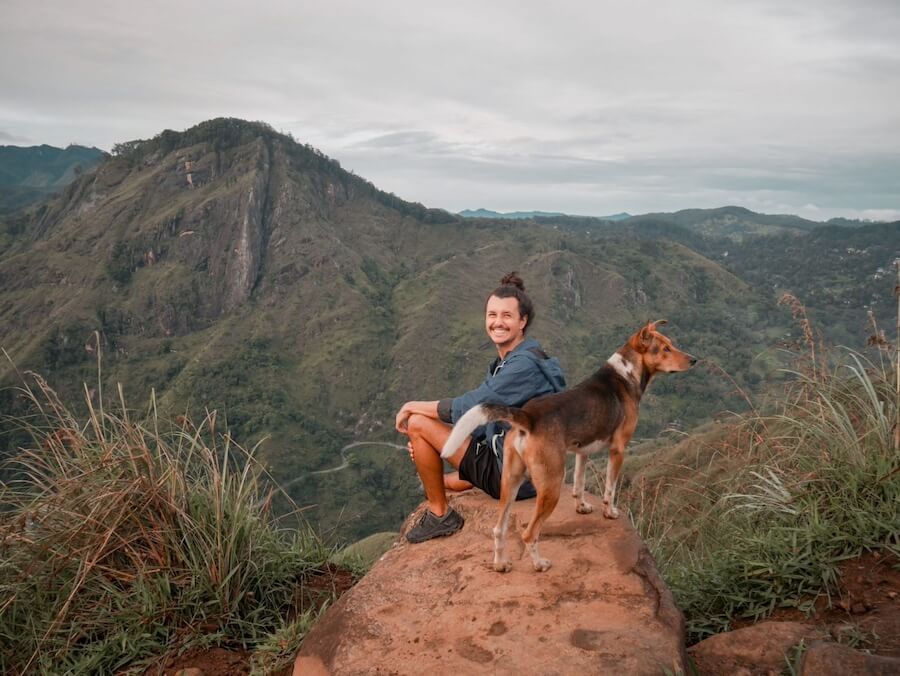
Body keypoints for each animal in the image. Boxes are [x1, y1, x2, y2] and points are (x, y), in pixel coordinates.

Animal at [442, 320, 696, 572]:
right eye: (665, 349)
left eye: (670, 344)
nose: (694, 360)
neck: (625, 373)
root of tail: (528, 417)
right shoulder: (618, 449)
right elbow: (610, 489)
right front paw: (610, 512)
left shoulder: (582, 450)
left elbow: (579, 484)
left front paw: (582, 507)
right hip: (551, 483)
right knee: (529, 533)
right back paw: (539, 564)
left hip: (510, 480)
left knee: (499, 528)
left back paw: (501, 564)